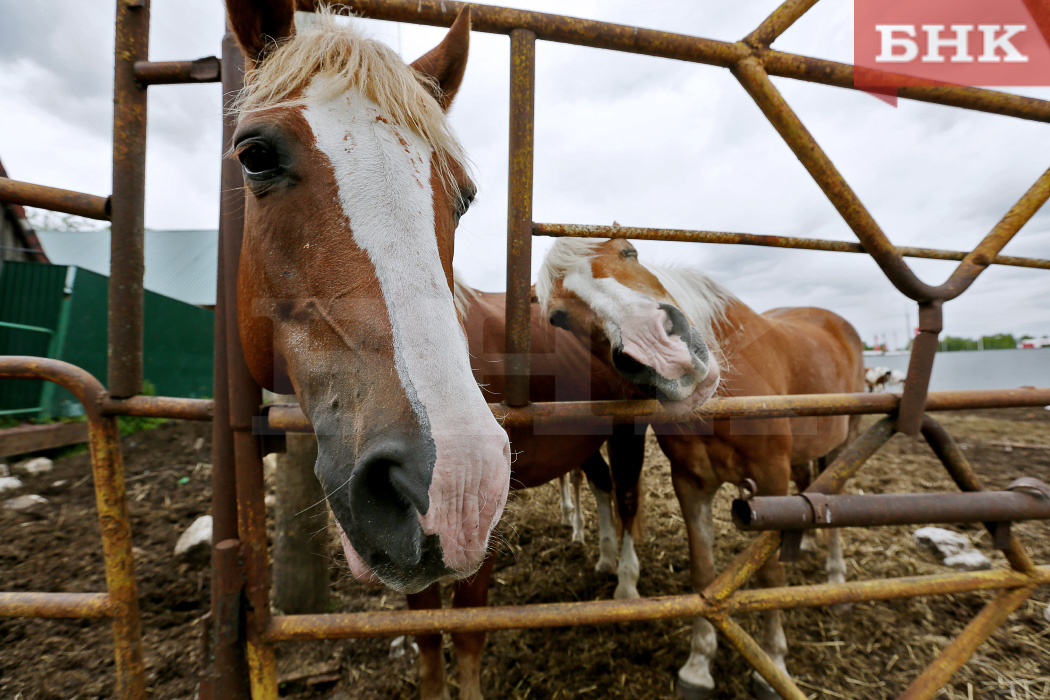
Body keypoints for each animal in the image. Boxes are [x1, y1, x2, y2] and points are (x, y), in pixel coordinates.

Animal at [403, 277, 642, 696]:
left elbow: (467, 626)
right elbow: (426, 633)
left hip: (629, 428)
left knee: (627, 496)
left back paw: (626, 586)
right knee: (602, 484)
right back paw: (604, 558)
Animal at [537, 238, 865, 696]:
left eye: (629, 251)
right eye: (558, 317)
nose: (661, 353)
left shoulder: (771, 477)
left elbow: (770, 577)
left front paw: (773, 665)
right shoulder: (691, 485)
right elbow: (705, 573)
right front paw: (698, 666)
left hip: (845, 443)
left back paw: (836, 581)